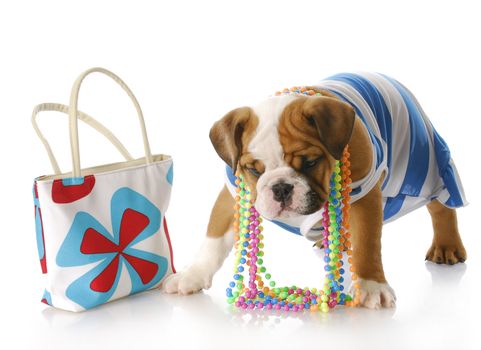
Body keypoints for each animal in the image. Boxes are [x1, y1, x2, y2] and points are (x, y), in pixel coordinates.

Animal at [163, 72, 466, 308]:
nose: (280, 188)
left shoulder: (366, 195)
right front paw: (192, 274)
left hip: (423, 159)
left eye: (310, 162)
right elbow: (213, 238)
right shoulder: (234, 193)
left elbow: (368, 242)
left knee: (441, 203)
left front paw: (371, 285)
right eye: (254, 170)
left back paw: (447, 245)